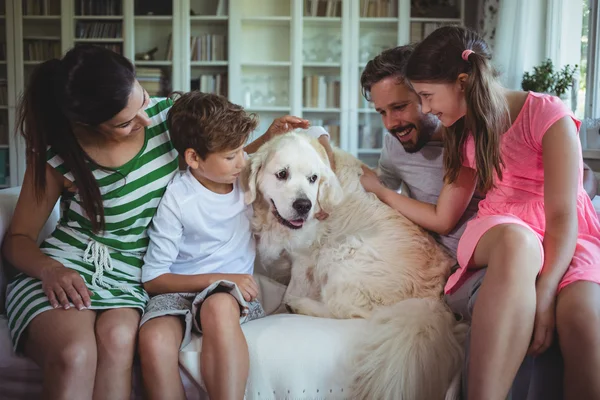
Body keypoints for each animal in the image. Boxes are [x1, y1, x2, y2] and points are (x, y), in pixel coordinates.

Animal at [241, 132, 466, 400]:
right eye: (282, 174)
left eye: (313, 178)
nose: (304, 205)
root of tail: (432, 301)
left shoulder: (305, 257)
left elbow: (292, 288)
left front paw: (283, 305)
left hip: (342, 251)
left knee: (351, 312)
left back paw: (299, 306)